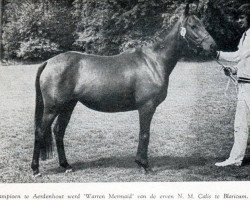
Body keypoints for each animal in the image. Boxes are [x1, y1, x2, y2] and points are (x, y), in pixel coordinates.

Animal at [31, 3, 217, 177]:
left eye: (201, 24)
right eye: (193, 26)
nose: (213, 46)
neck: (154, 62)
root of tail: (48, 62)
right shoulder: (146, 107)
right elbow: (144, 134)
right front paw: (144, 165)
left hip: (68, 106)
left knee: (58, 131)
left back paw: (66, 166)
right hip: (53, 108)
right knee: (40, 131)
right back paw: (35, 169)